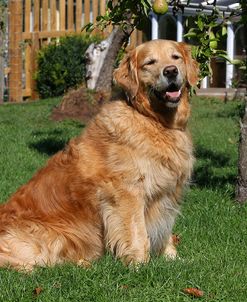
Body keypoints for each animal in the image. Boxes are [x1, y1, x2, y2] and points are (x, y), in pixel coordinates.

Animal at [0, 39, 199, 268]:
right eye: (150, 62)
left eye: (175, 57)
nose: (171, 71)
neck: (153, 120)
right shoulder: (127, 192)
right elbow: (137, 233)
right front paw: (140, 264)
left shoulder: (167, 192)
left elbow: (166, 230)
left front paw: (174, 259)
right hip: (51, 236)